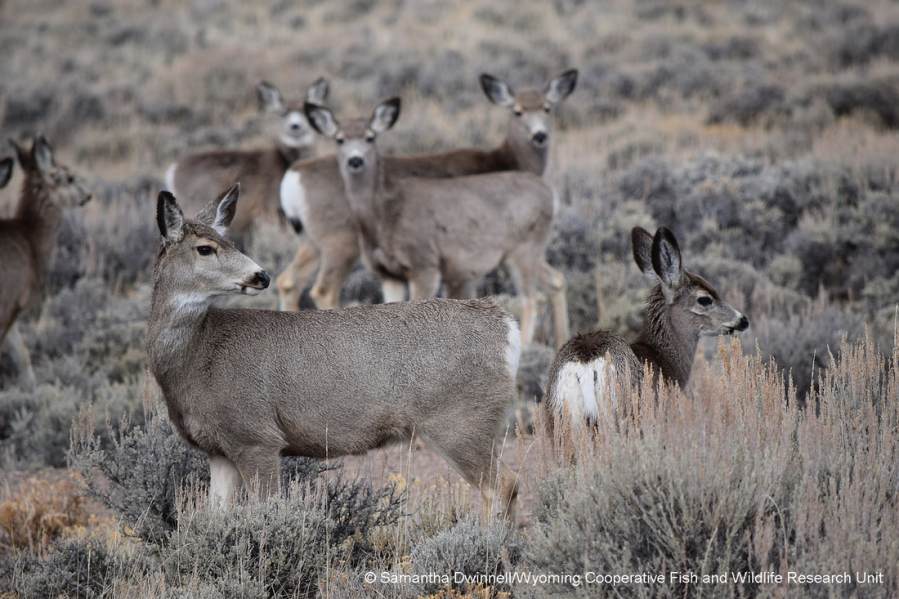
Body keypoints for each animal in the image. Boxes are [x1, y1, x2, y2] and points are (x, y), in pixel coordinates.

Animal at [0, 137, 92, 390]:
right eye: (69, 177)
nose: (88, 194)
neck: (31, 239)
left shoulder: (13, 310)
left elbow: (22, 354)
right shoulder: (9, 300)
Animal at [147, 185, 521, 518]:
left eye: (231, 243)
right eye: (205, 248)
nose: (261, 276)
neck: (197, 357)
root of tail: (505, 327)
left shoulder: (257, 435)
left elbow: (267, 509)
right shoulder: (218, 449)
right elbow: (217, 515)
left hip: (460, 422)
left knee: (502, 485)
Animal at [165, 78, 329, 246]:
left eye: (305, 111)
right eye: (283, 113)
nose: (295, 126)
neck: (286, 163)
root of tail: (172, 170)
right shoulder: (270, 208)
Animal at [276, 69, 578, 313]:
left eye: (548, 108)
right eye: (517, 111)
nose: (539, 135)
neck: (505, 160)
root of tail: (293, 176)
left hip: (310, 241)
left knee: (288, 281)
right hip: (339, 240)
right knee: (323, 290)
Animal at [303, 97, 570, 348]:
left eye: (370, 137)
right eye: (339, 139)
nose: (355, 161)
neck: (383, 217)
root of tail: (550, 193)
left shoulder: (425, 264)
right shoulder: (389, 274)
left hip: (525, 248)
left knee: (531, 298)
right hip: (521, 253)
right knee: (555, 280)